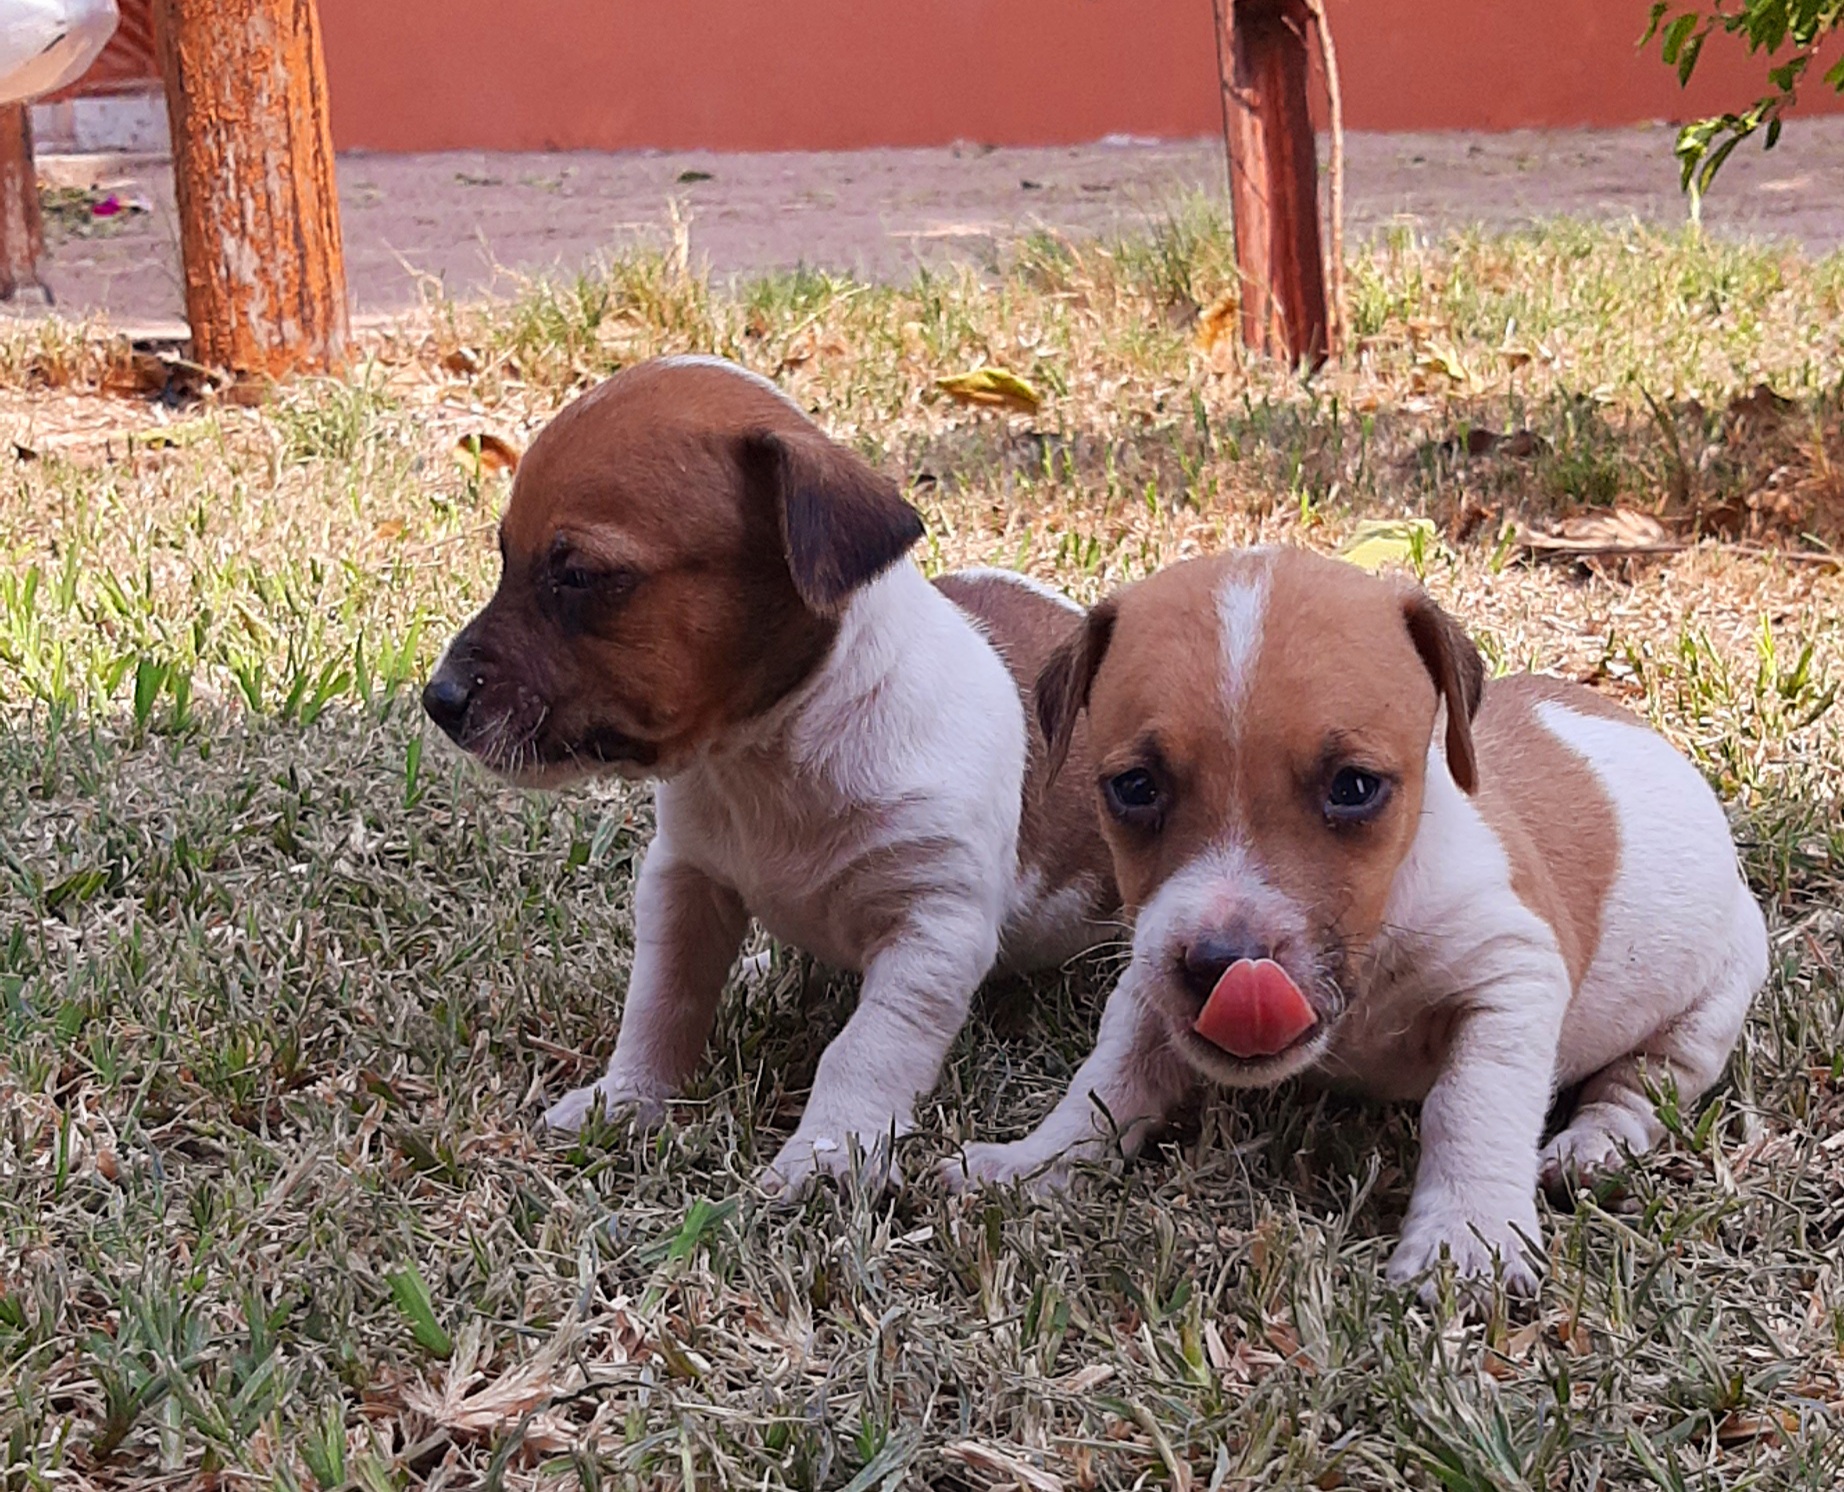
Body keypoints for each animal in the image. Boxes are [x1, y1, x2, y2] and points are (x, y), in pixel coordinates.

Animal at [422, 361, 1106, 1202]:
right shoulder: (685, 882)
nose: (439, 701)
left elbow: (865, 1047)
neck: (771, 755)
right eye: (504, 557)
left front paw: (827, 1153)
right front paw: (625, 1099)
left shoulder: (931, 930)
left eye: (579, 575)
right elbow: (662, 1001)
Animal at [951, 545, 1770, 1290]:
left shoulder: (1511, 977)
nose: (1225, 965)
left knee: (1640, 1086)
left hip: (1708, 1010)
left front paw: (1464, 1239)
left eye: (1353, 787)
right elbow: (1108, 1080)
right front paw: (1034, 1162)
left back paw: (1590, 1148)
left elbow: (1472, 1106)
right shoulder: (1151, 982)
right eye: (1134, 787)